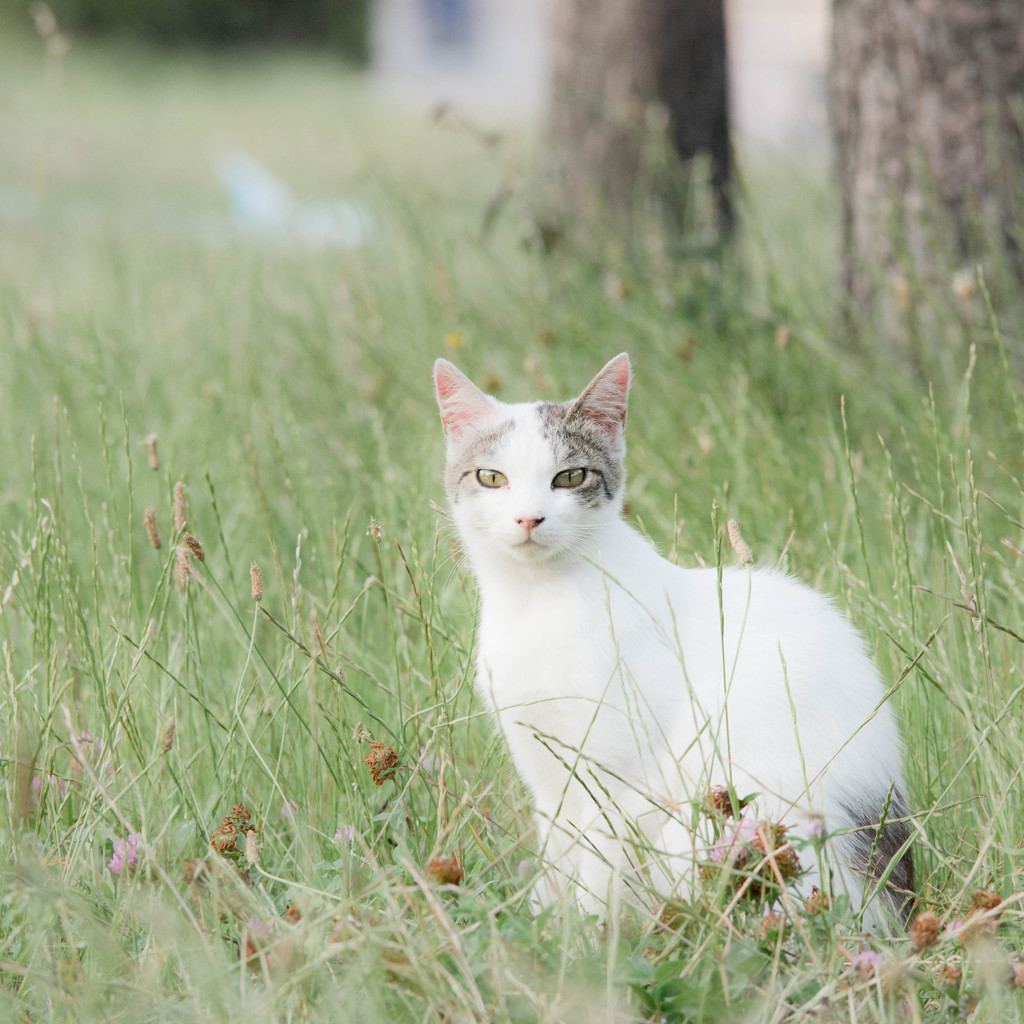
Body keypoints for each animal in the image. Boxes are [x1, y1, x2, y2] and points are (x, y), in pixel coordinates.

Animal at [432, 354, 913, 929]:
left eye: (569, 476)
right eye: (491, 477)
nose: (529, 517)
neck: (537, 601)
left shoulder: (616, 778)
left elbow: (596, 872)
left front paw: (589, 940)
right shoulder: (544, 769)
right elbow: (558, 860)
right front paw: (548, 928)